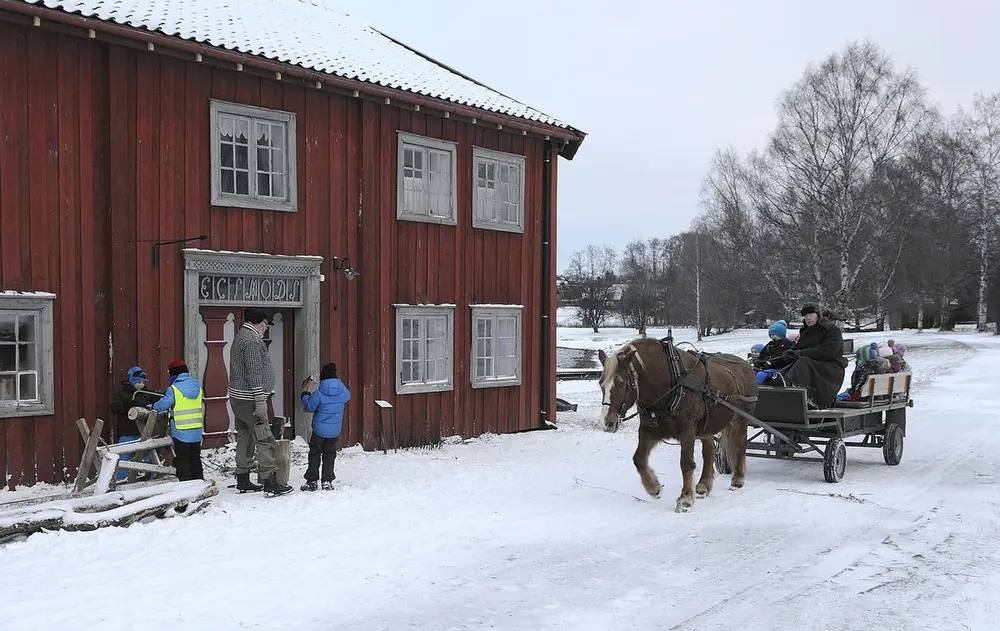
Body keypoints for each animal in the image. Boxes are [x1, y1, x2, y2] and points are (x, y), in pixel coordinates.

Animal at [600, 338, 756, 512]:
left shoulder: (687, 431)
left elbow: (686, 464)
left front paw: (685, 499)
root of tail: (745, 365)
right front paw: (654, 488)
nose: (608, 422)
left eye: (621, 383)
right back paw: (703, 485)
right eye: (601, 384)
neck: (670, 384)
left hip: (740, 420)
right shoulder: (649, 430)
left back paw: (738, 479)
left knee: (740, 446)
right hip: (706, 427)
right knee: (709, 451)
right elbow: (638, 459)